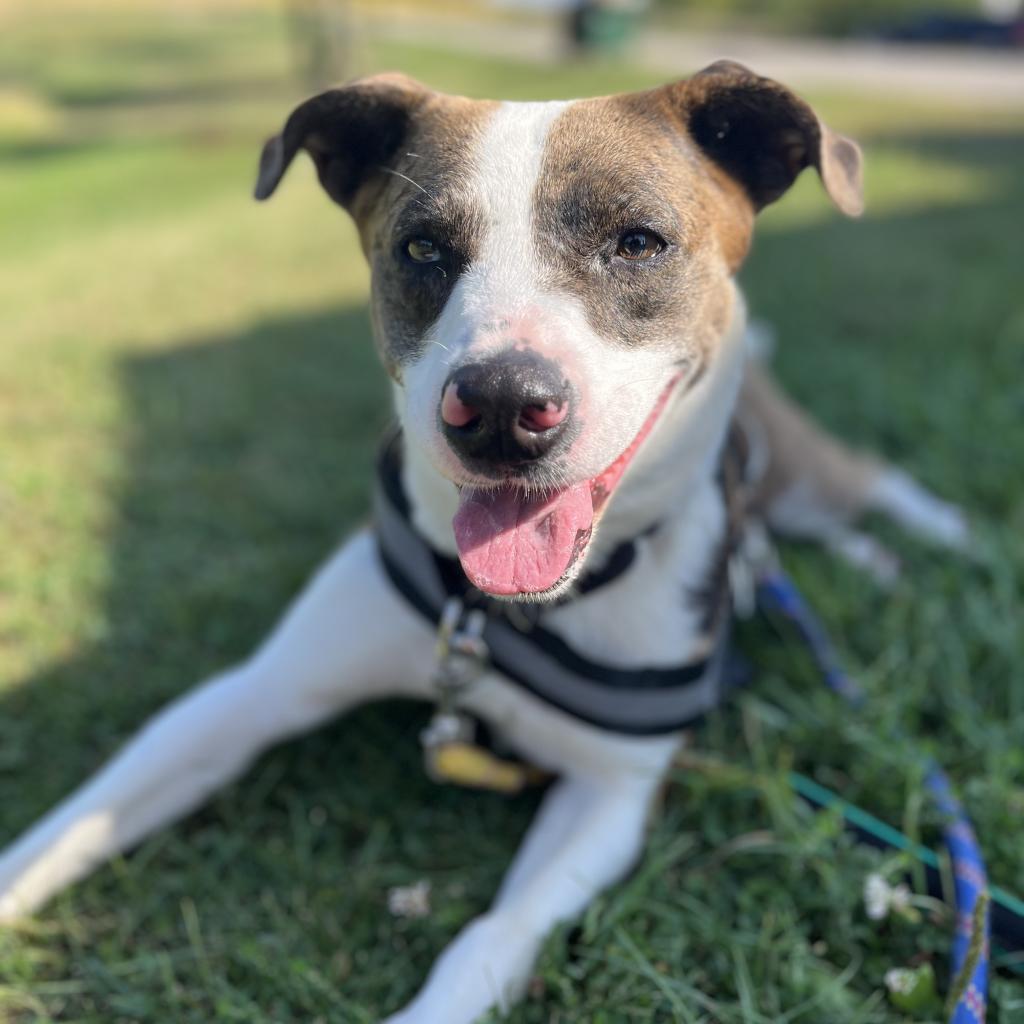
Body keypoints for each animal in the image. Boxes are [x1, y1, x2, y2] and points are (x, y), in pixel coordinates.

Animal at [0, 59, 966, 1019]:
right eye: (422, 249)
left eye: (638, 242)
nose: (502, 405)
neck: (506, 613)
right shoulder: (252, 693)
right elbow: (72, 826)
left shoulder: (611, 792)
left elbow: (494, 934)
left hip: (801, 466)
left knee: (873, 481)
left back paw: (944, 543)